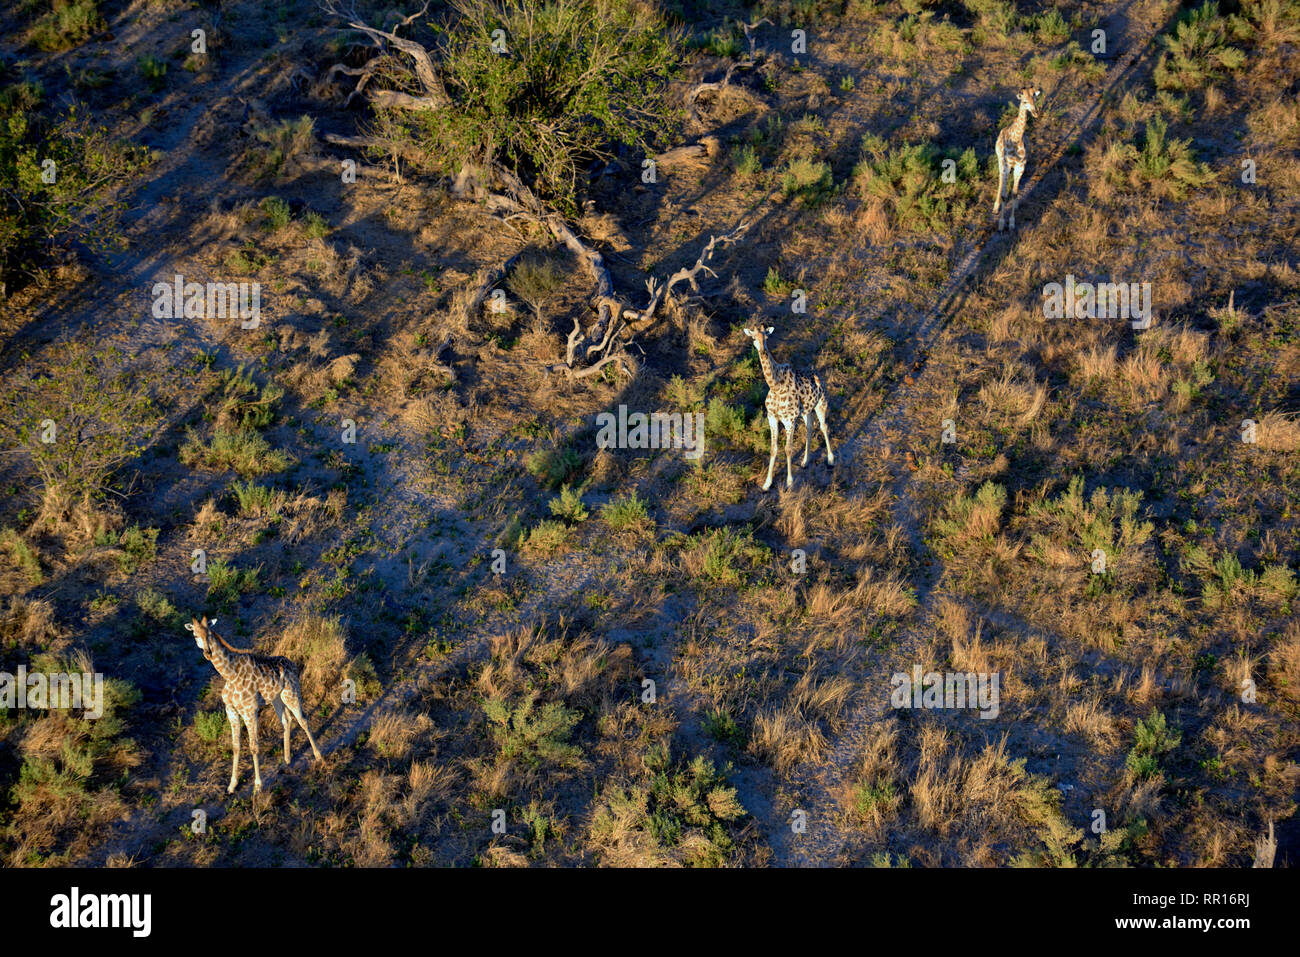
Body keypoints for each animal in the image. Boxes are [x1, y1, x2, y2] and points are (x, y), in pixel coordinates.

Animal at [185, 616, 322, 794]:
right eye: (195, 635)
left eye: (209, 633)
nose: (208, 653)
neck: (230, 675)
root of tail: (292, 663)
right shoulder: (231, 711)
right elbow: (236, 746)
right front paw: (232, 785)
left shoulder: (250, 711)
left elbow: (254, 746)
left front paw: (258, 786)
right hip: (276, 698)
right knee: (286, 721)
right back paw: (287, 759)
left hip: (291, 693)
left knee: (303, 720)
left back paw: (318, 755)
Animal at [743, 325, 834, 491]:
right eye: (753, 338)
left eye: (766, 337)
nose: (763, 351)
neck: (775, 386)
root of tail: (819, 374)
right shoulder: (772, 417)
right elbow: (773, 448)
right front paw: (767, 484)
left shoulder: (789, 420)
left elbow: (788, 449)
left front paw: (789, 482)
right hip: (806, 411)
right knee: (810, 428)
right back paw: (805, 462)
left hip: (821, 403)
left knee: (824, 426)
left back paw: (831, 460)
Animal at [993, 86, 1041, 231]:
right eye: (1024, 101)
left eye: (1035, 99)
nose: (1035, 113)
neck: (1015, 139)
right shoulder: (1005, 164)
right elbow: (1004, 195)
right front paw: (1001, 224)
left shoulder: (1021, 165)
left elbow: (1014, 193)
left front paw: (1012, 223)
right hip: (1001, 162)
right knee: (1000, 181)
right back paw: (995, 207)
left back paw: (1016, 204)